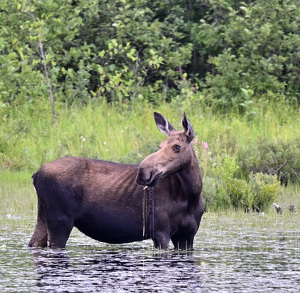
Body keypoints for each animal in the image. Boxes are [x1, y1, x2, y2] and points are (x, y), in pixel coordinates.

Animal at [28, 112, 204, 249]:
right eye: (160, 146)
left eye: (177, 147)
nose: (143, 172)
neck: (191, 195)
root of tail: (36, 175)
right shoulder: (160, 231)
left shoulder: (187, 236)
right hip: (60, 220)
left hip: (44, 215)